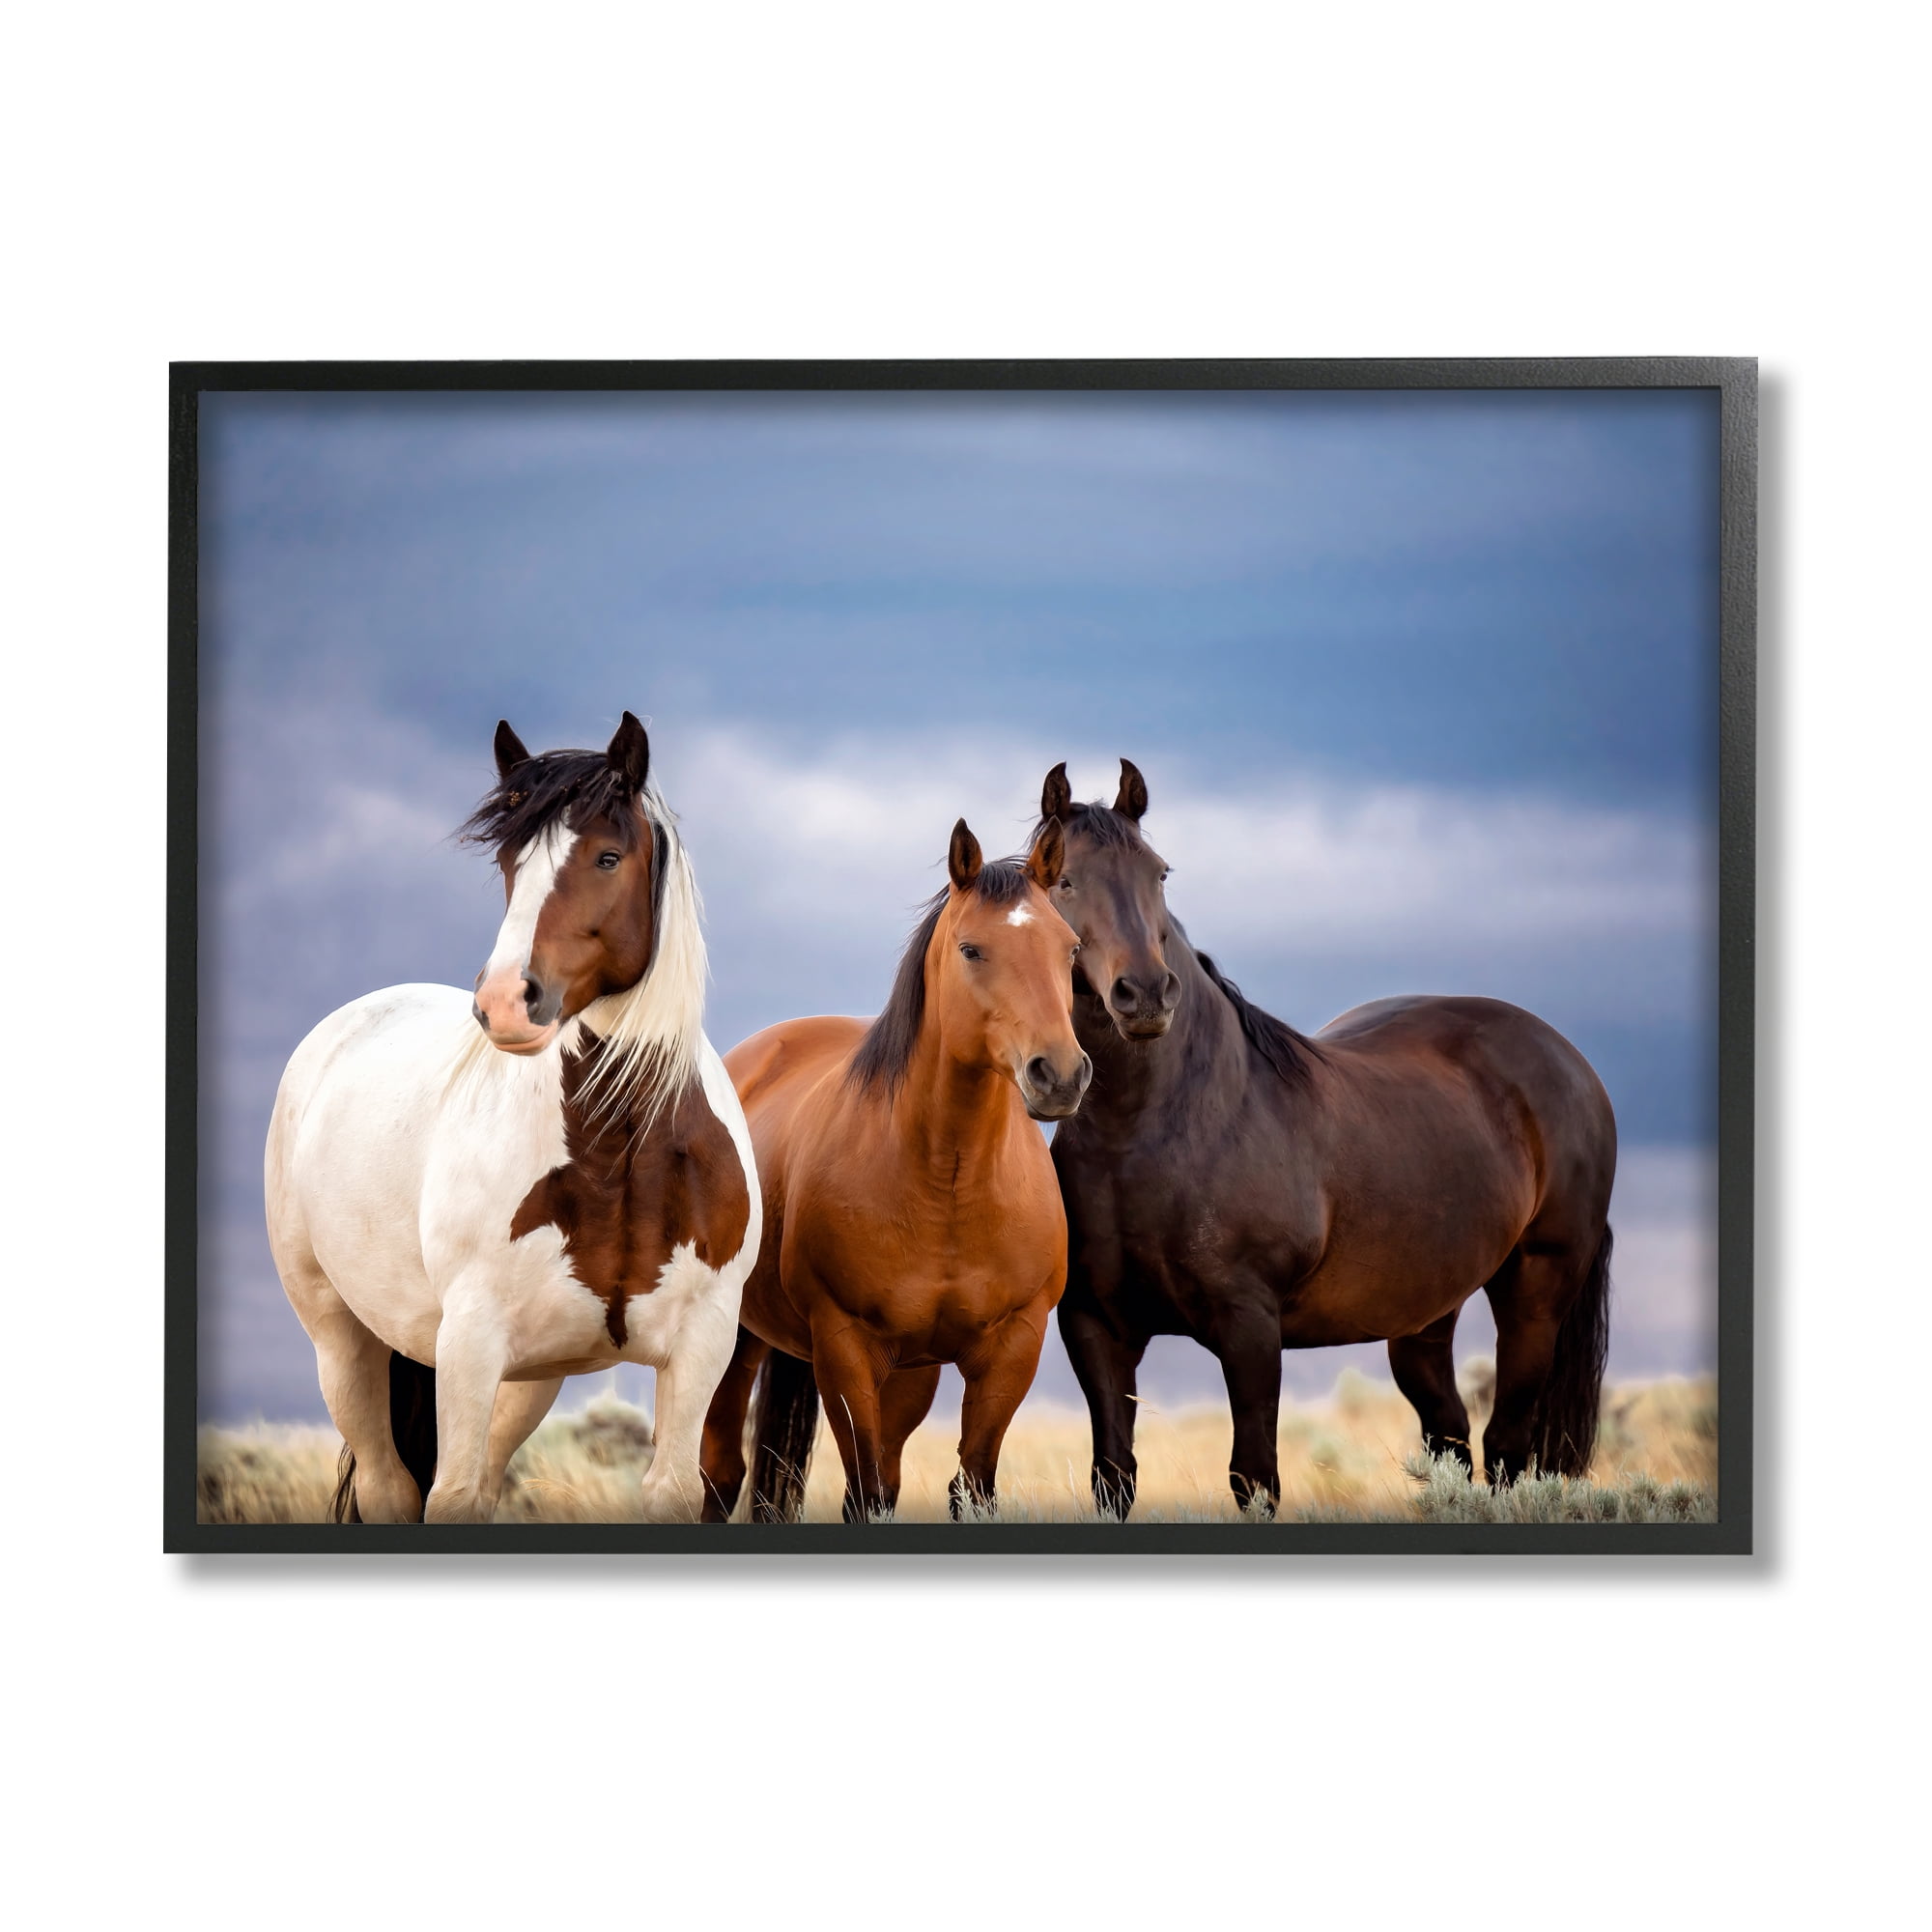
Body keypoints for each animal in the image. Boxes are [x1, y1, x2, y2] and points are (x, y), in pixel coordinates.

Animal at [264, 713, 761, 1523]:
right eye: (508, 859)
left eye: (607, 856)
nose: (502, 1001)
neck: (619, 1152)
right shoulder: (470, 1341)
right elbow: (453, 1494)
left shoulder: (702, 1345)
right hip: (342, 1342)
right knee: (389, 1486)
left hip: (529, 1379)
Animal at [697, 817, 1089, 1522]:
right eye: (971, 949)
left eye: (1069, 949)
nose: (1061, 1074)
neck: (949, 1185)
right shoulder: (846, 1348)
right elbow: (866, 1492)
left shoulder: (1012, 1348)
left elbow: (970, 1486)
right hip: (738, 1339)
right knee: (721, 1472)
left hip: (910, 1372)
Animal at [1036, 759, 1617, 1515]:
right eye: (1063, 879)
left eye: (1159, 873)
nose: (1147, 995)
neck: (1148, 1135)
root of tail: (1569, 1061)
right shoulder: (1096, 1327)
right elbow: (1115, 1476)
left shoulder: (1250, 1328)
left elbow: (1255, 1478)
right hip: (1424, 1314)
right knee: (1451, 1438)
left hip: (1535, 1293)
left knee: (1507, 1448)